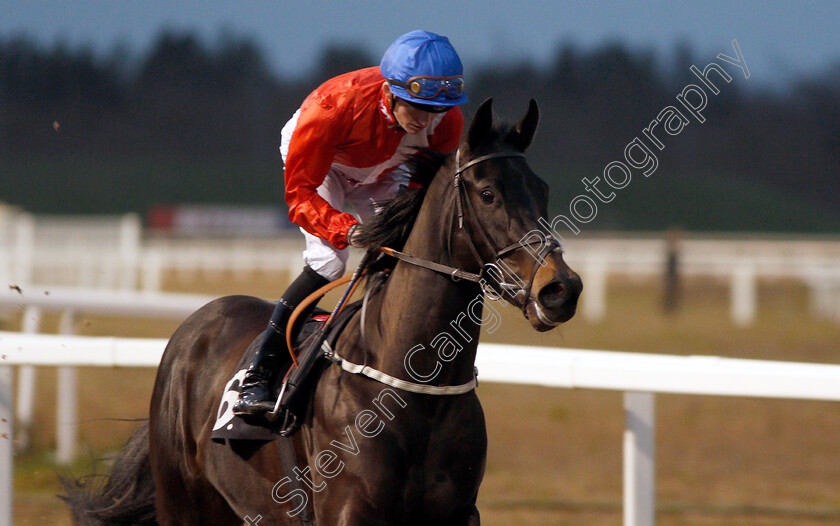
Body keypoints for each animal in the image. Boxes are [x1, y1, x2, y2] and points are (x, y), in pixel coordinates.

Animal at [60, 98, 584, 524]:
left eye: (542, 190)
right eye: (488, 193)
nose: (561, 289)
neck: (417, 389)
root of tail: (196, 323)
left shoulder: (457, 514)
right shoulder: (348, 510)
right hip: (182, 503)